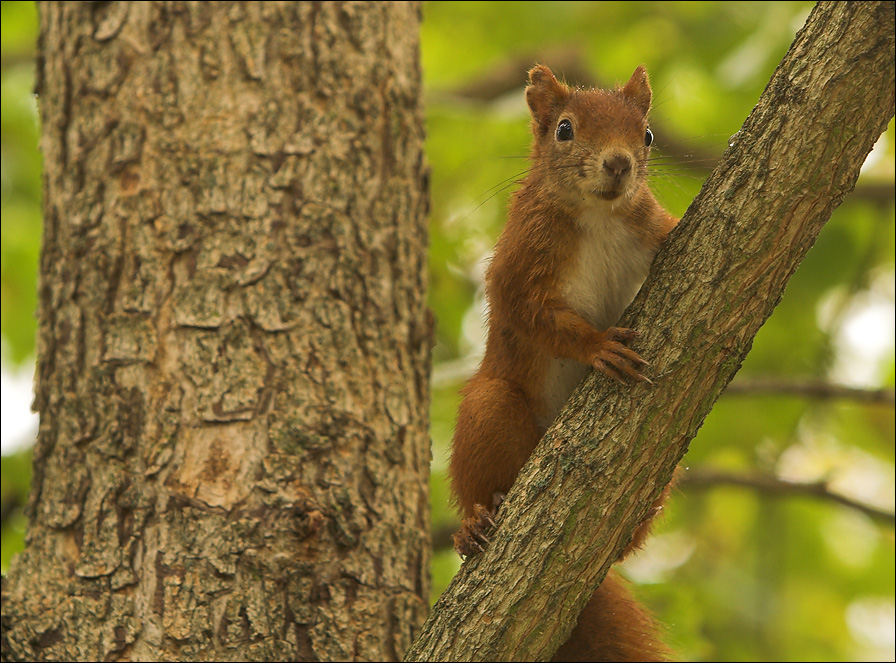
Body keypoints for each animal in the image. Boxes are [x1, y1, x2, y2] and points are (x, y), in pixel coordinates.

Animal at [448, 66, 680, 663]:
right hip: (492, 408)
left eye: (647, 135)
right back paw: (474, 525)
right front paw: (597, 346)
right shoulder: (517, 266)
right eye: (564, 129)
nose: (619, 164)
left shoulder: (653, 228)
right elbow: (536, 319)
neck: (598, 215)